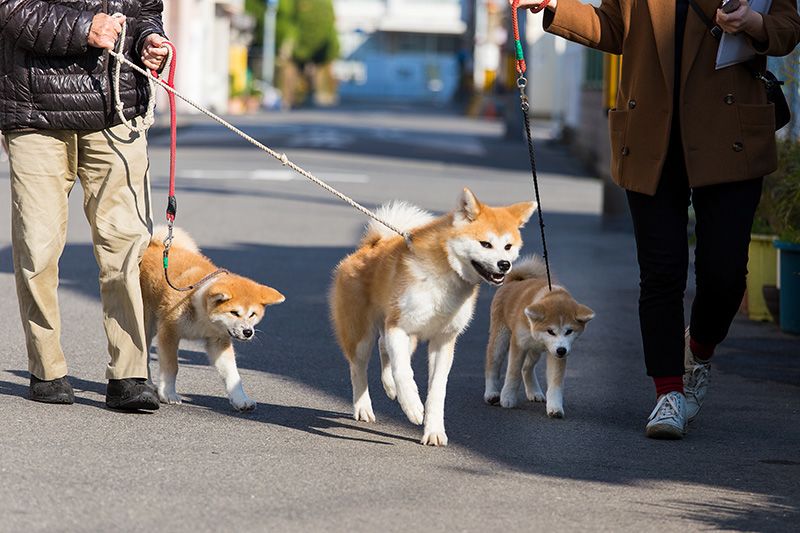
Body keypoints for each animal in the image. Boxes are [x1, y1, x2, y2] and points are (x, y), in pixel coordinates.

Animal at [141, 229, 284, 412]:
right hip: (146, 322)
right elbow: (172, 367)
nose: (247, 332)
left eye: (253, 314)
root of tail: (154, 245)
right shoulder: (169, 332)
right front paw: (168, 393)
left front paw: (241, 399)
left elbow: (232, 374)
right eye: (234, 313)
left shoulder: (218, 341)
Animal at [328, 187, 536, 444]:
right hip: (362, 334)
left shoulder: (443, 340)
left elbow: (437, 389)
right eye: (485, 244)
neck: (447, 272)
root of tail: (370, 246)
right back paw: (364, 407)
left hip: (406, 335)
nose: (504, 264)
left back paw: (389, 387)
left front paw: (434, 430)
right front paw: (413, 407)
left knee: (384, 347)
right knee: (359, 367)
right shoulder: (399, 327)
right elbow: (403, 372)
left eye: (508, 246)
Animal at [482, 256, 592, 418]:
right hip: (500, 338)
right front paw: (507, 397)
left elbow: (555, 383)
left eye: (569, 331)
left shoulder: (555, 355)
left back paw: (534, 392)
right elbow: (513, 373)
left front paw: (555, 407)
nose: (561, 350)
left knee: (526, 368)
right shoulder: (519, 344)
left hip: (535, 350)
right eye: (550, 331)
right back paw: (491, 393)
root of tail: (514, 281)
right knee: (493, 364)